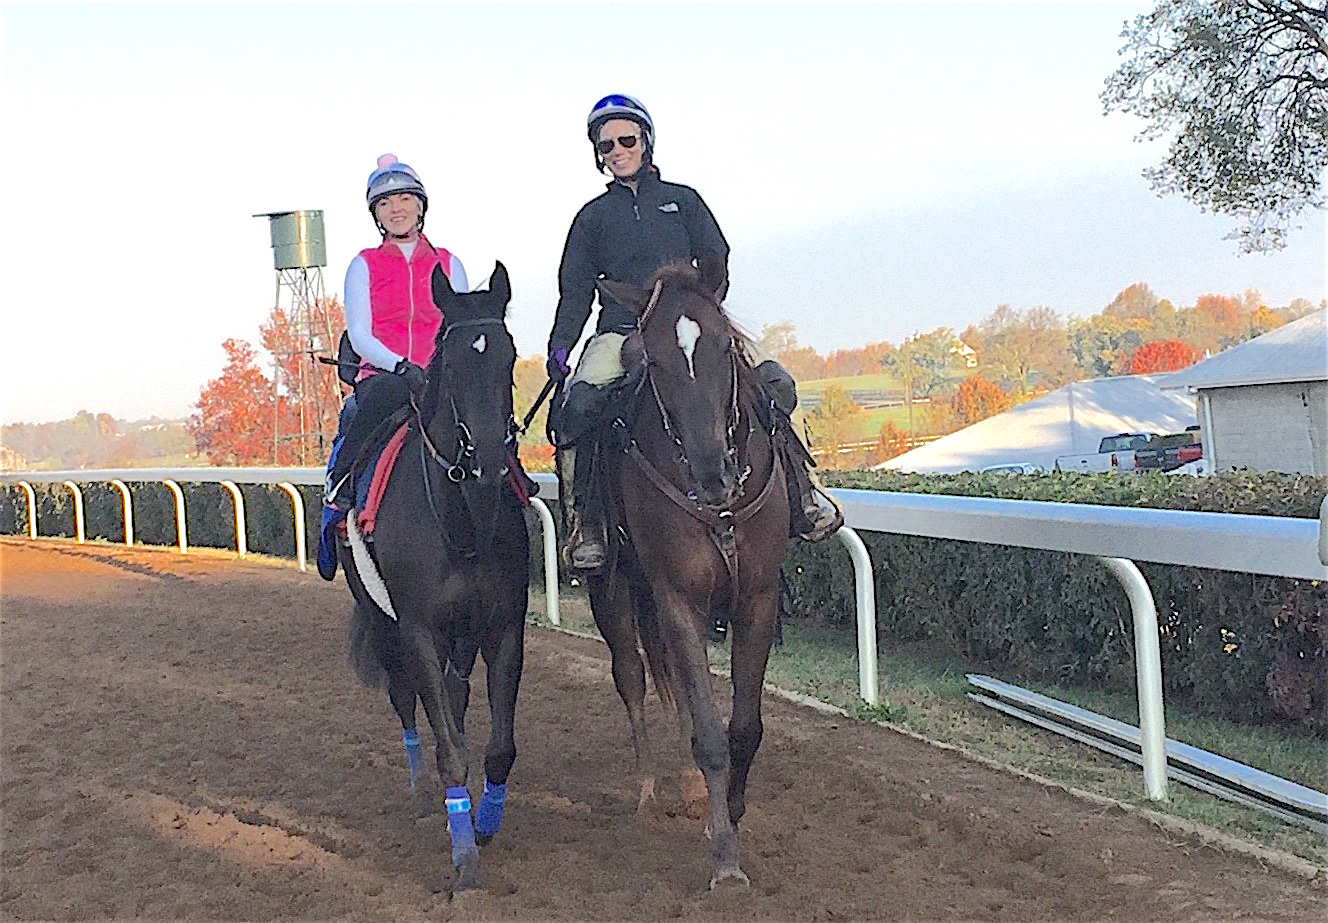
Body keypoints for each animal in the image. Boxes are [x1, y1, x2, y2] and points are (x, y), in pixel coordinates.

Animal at [337, 261, 528, 897]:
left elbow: (498, 747)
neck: (461, 520)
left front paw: (485, 824)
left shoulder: (502, 627)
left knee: (455, 692)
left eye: (507, 354)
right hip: (382, 622)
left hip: (461, 634)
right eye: (454, 360)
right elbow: (446, 744)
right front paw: (463, 856)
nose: (489, 457)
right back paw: (423, 795)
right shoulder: (417, 628)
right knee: (409, 699)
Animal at [592, 265, 786, 887]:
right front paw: (724, 855)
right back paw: (651, 790)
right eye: (653, 360)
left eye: (724, 345)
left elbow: (743, 726)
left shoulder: (758, 596)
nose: (713, 474)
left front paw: (733, 808)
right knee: (632, 676)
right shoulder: (676, 596)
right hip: (614, 588)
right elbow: (709, 730)